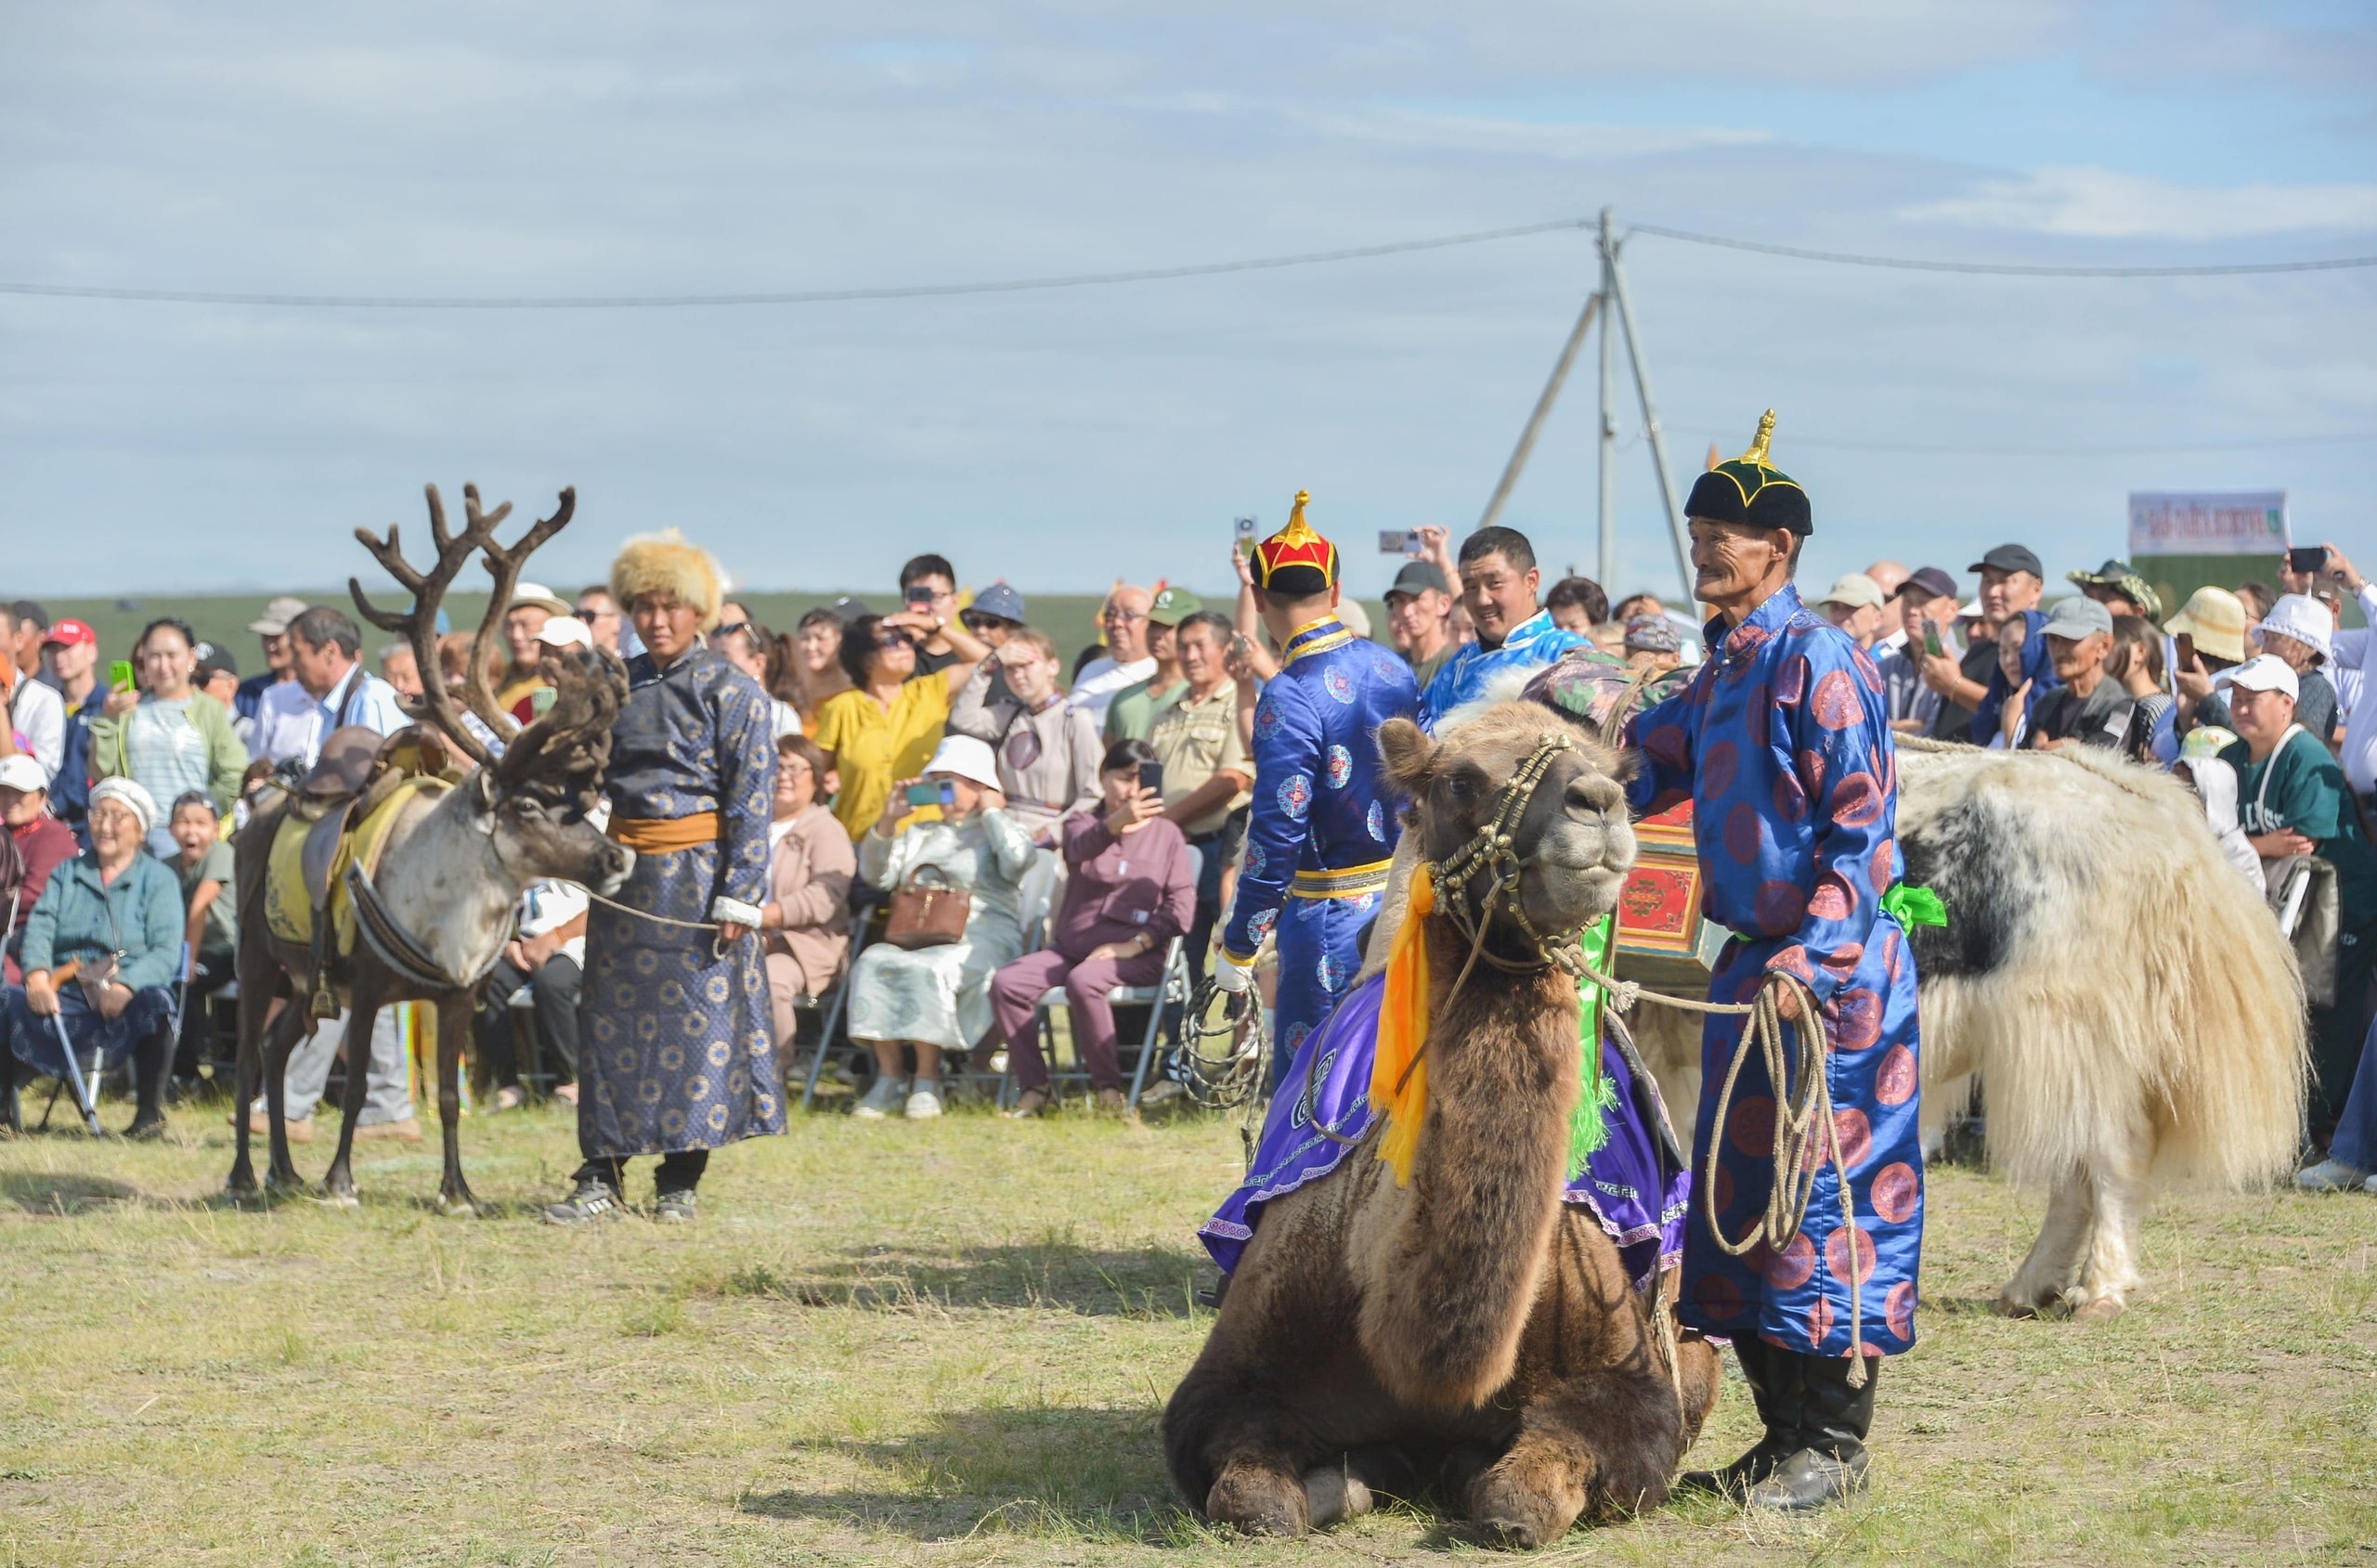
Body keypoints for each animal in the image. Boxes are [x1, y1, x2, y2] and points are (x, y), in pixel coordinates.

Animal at [1160, 707, 1721, 1539]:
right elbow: (1253, 1497)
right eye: (1460, 779)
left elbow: (1519, 1498)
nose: (1597, 803)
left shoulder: (1633, 1393)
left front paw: (1462, 1474)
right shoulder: (1228, 1379)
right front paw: (1350, 1479)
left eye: (1619, 774)